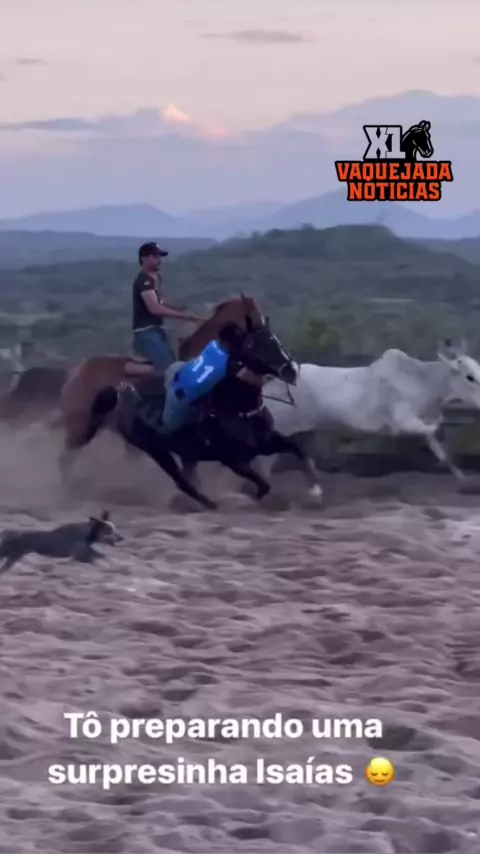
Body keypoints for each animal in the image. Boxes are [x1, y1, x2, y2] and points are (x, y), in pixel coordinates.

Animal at [61, 313, 322, 509]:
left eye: (274, 338)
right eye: (252, 344)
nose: (289, 369)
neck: (235, 407)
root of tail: (119, 391)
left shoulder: (266, 442)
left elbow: (299, 452)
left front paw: (315, 490)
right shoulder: (233, 459)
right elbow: (262, 486)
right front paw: (240, 500)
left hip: (182, 452)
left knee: (188, 480)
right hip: (155, 450)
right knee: (183, 483)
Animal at [261, 340, 480, 488]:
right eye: (469, 376)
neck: (422, 380)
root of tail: (269, 384)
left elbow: (441, 450)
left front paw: (463, 480)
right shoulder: (404, 421)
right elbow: (433, 432)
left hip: (304, 431)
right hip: (280, 429)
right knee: (266, 462)